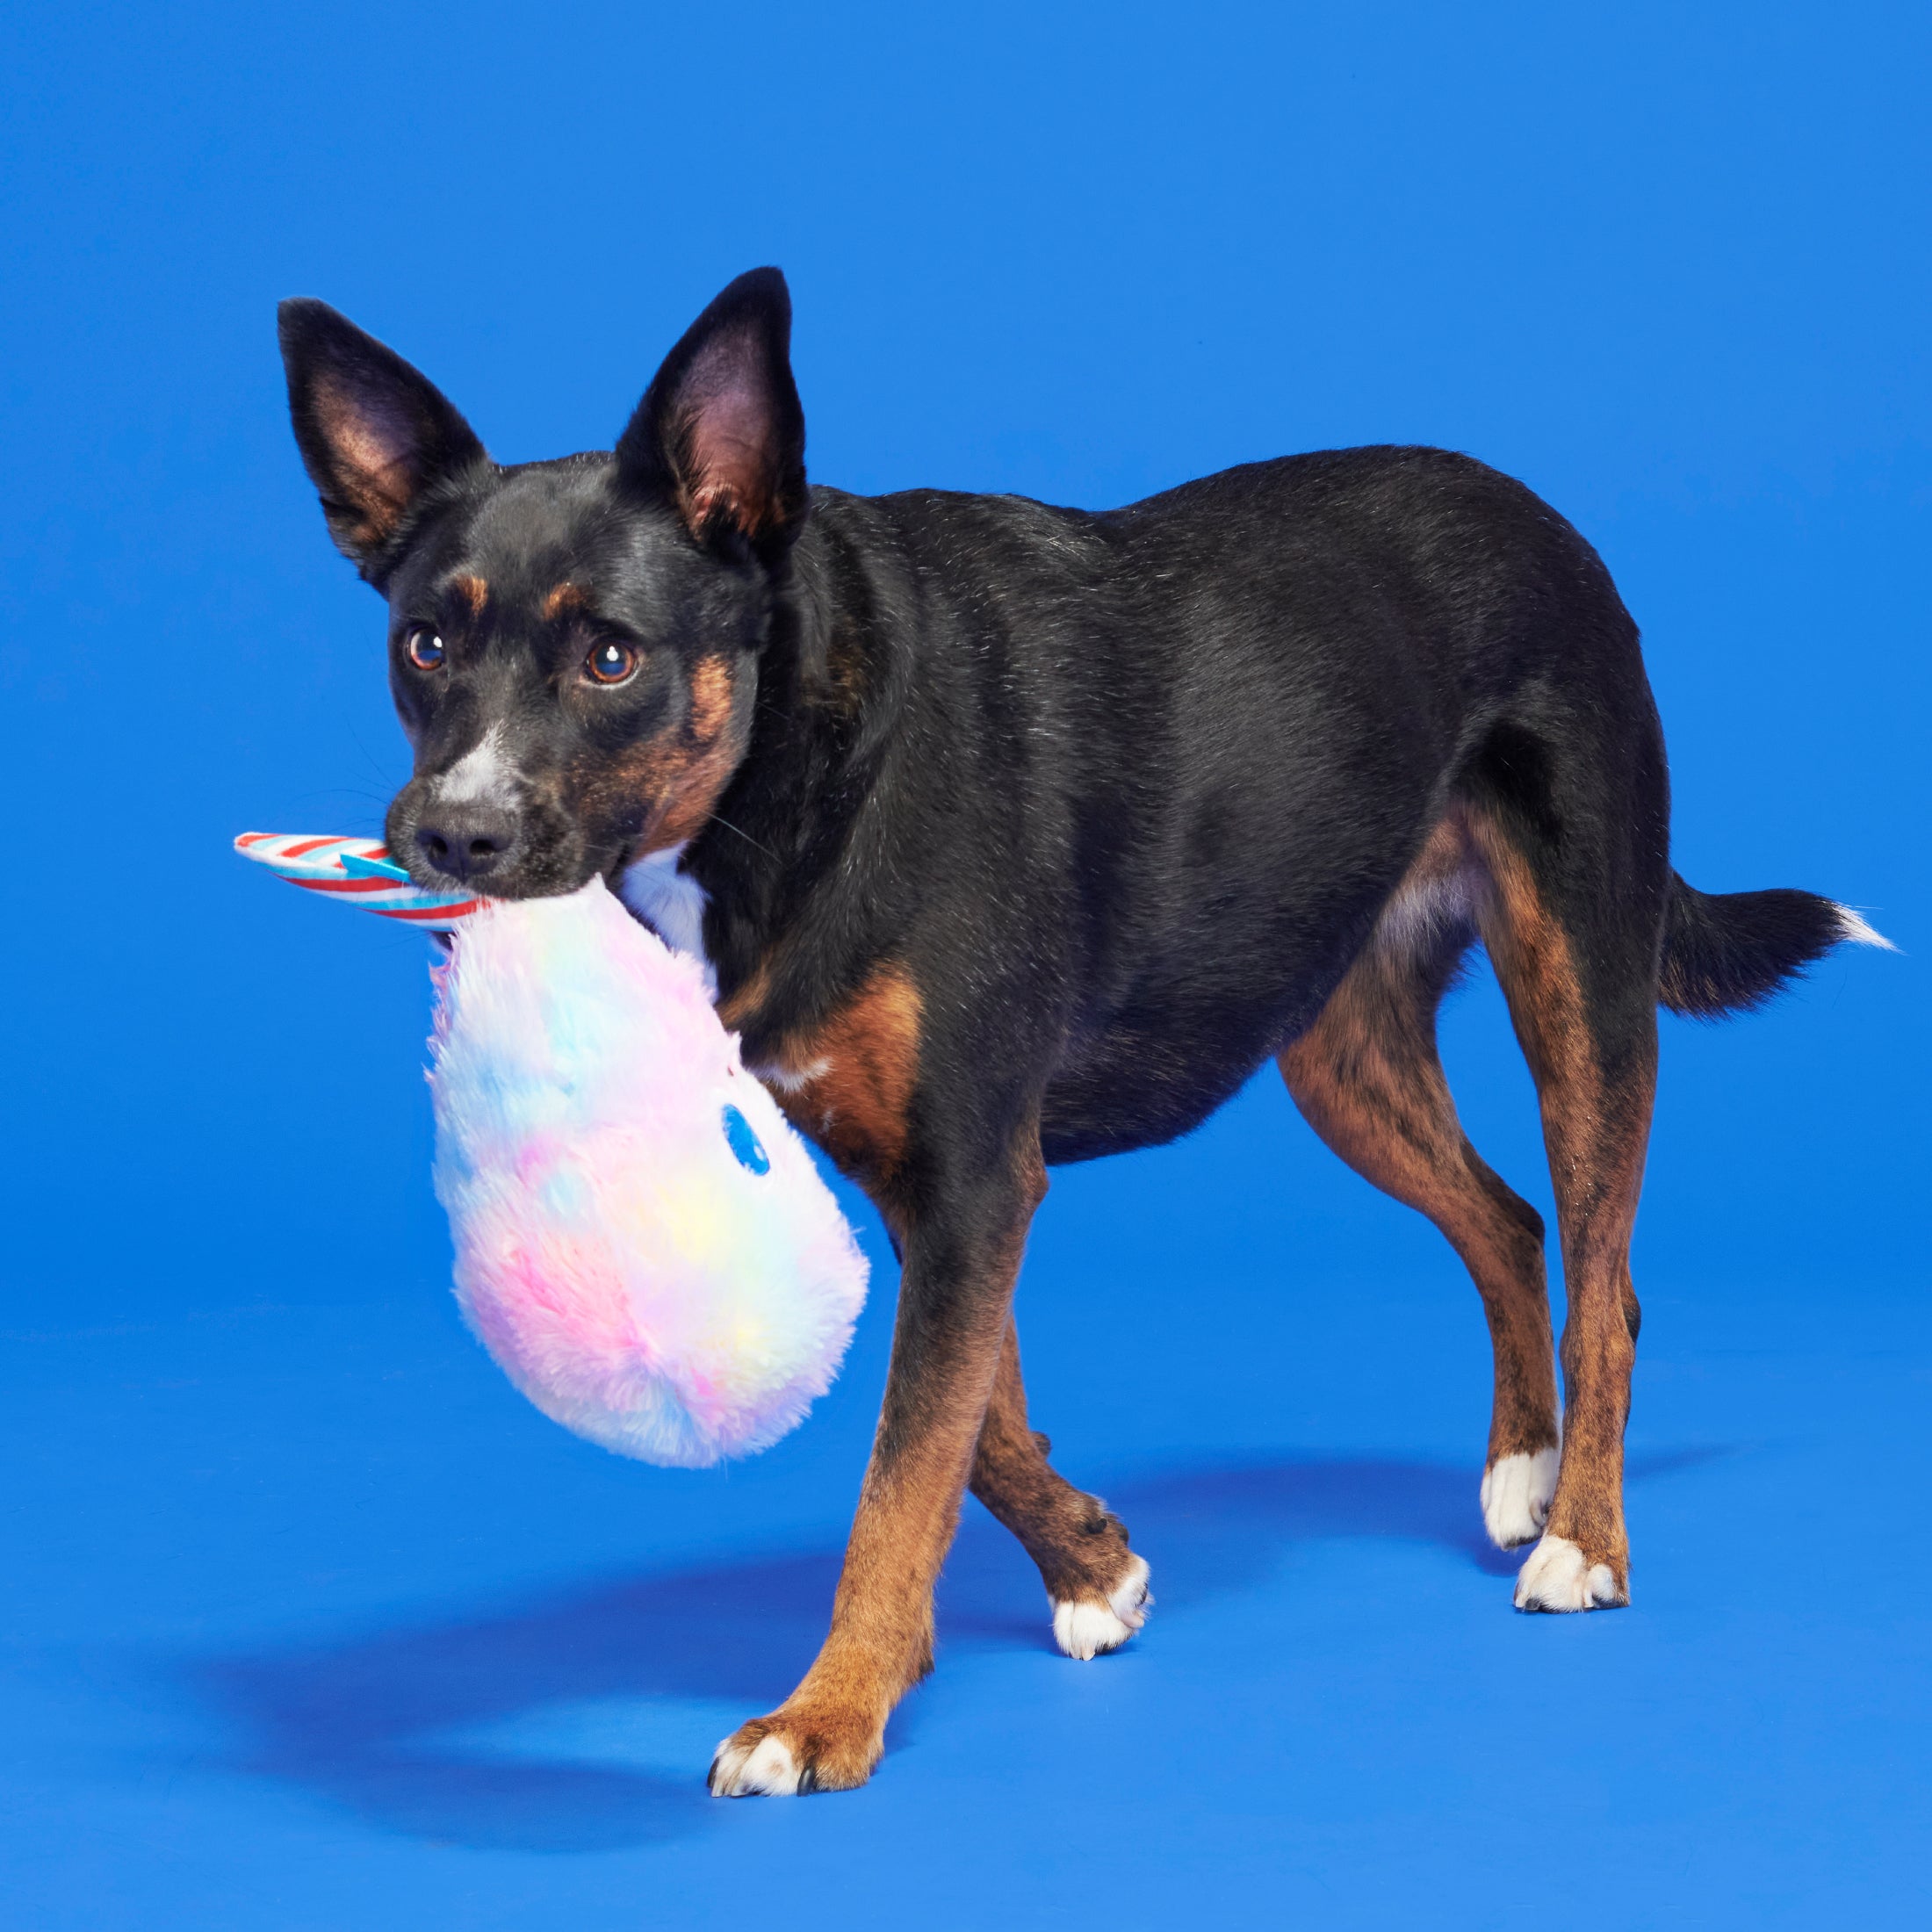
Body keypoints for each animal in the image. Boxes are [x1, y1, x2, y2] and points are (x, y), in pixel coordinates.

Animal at [276, 268, 1885, 1792]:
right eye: (426, 644)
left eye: (612, 658)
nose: (450, 834)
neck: (796, 759)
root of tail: (1547, 521)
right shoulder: (927, 1182)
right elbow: (972, 1427)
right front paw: (1093, 1570)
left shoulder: (977, 1179)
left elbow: (906, 1464)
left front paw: (827, 1716)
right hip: (1335, 1052)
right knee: (1506, 1218)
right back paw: (1522, 1467)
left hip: (1582, 985)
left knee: (1605, 1278)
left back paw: (1584, 1538)